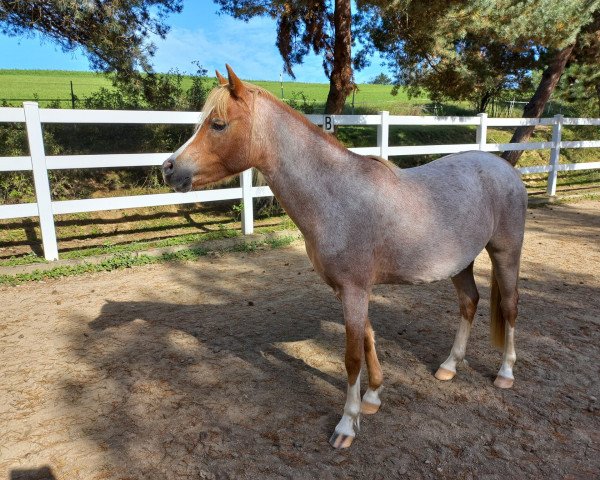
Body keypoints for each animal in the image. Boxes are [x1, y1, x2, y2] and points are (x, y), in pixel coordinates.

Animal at [162, 64, 528, 450]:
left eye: (217, 124)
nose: (168, 168)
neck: (335, 195)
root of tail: (504, 168)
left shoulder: (355, 290)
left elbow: (352, 357)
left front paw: (347, 425)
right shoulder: (349, 290)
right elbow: (367, 339)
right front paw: (373, 398)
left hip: (505, 253)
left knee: (509, 306)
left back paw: (505, 372)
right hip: (461, 263)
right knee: (469, 302)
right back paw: (449, 366)